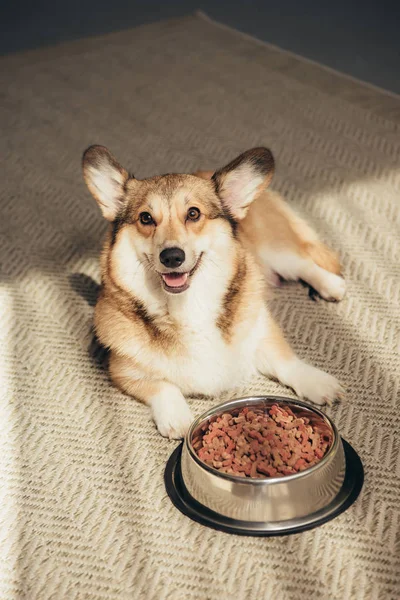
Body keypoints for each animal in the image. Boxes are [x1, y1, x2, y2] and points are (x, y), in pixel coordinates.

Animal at [83, 143, 346, 438]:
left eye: (193, 213)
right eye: (146, 218)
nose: (171, 256)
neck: (187, 305)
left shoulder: (261, 332)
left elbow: (286, 361)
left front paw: (316, 382)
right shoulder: (122, 370)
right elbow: (162, 386)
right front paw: (176, 416)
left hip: (276, 252)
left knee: (304, 263)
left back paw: (331, 285)